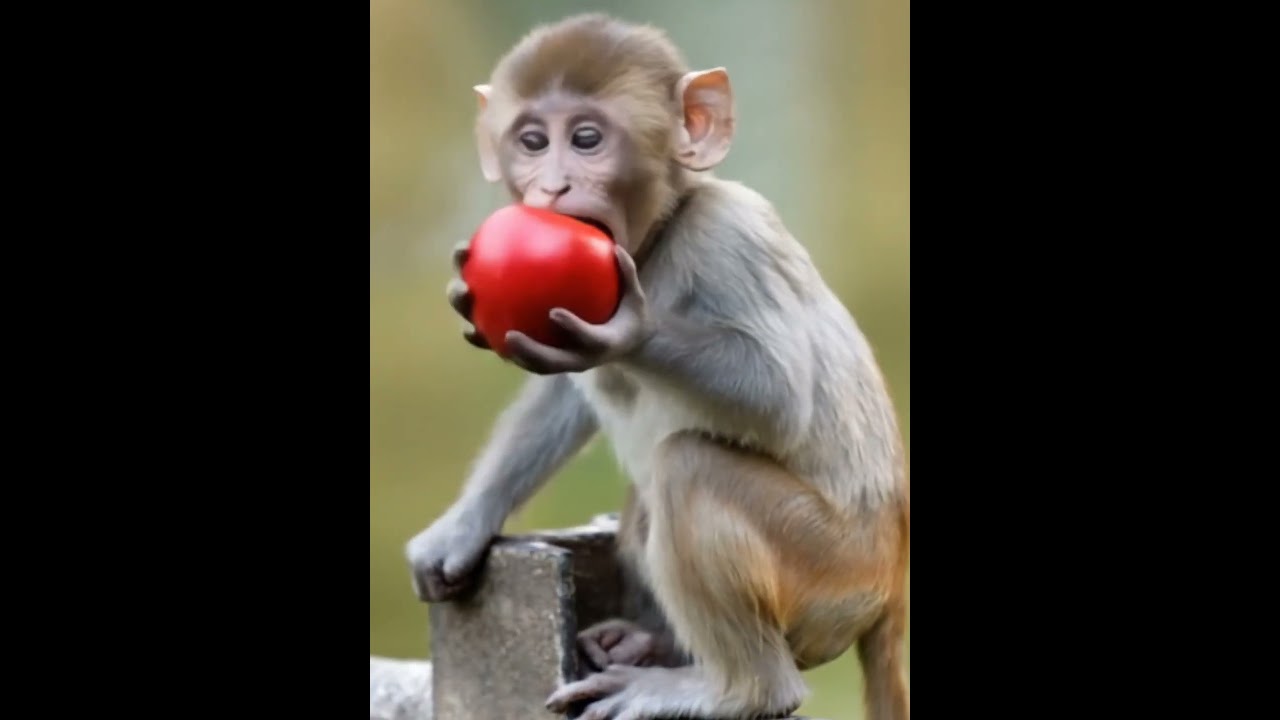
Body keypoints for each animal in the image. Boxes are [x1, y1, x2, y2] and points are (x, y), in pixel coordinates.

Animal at [405, 13, 909, 720]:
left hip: (830, 571)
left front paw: (630, 330)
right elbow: (567, 393)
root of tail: (891, 574)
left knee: (687, 468)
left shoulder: (729, 234)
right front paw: (463, 526)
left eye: (586, 139)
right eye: (532, 142)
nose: (552, 186)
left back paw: (734, 690)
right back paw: (655, 647)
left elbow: (780, 394)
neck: (661, 233)